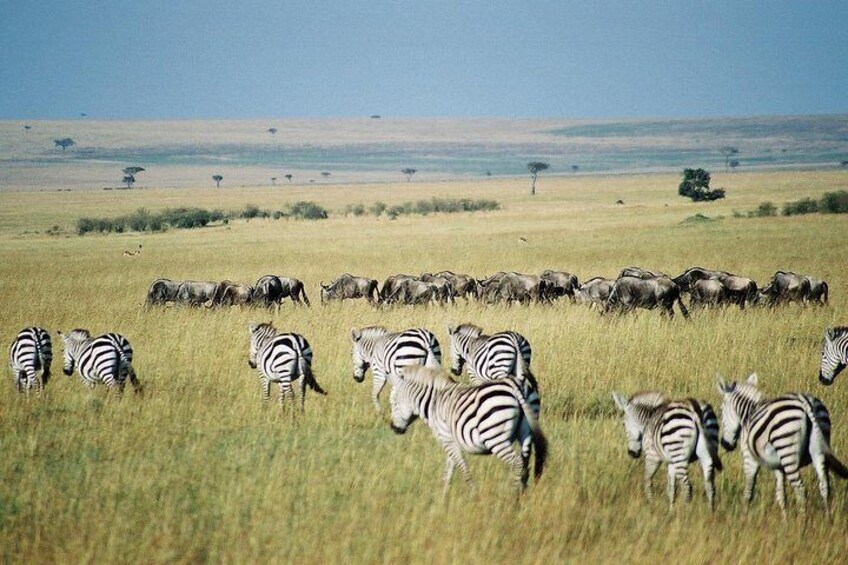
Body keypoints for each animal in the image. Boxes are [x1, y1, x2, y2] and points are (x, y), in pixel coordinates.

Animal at [388, 366, 548, 494]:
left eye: (394, 403)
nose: (393, 428)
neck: (434, 402)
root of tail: (514, 384)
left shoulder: (447, 440)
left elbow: (462, 467)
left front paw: (473, 493)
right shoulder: (451, 442)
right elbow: (449, 470)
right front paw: (443, 497)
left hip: (495, 438)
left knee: (517, 462)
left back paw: (514, 497)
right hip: (526, 431)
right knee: (525, 464)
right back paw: (522, 496)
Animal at [716, 372, 848, 516]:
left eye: (721, 410)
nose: (725, 444)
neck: (748, 414)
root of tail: (805, 403)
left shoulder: (749, 457)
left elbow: (748, 490)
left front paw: (744, 516)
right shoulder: (778, 465)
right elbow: (781, 494)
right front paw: (785, 519)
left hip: (787, 450)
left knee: (800, 489)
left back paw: (802, 520)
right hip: (819, 449)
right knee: (824, 486)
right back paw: (827, 518)